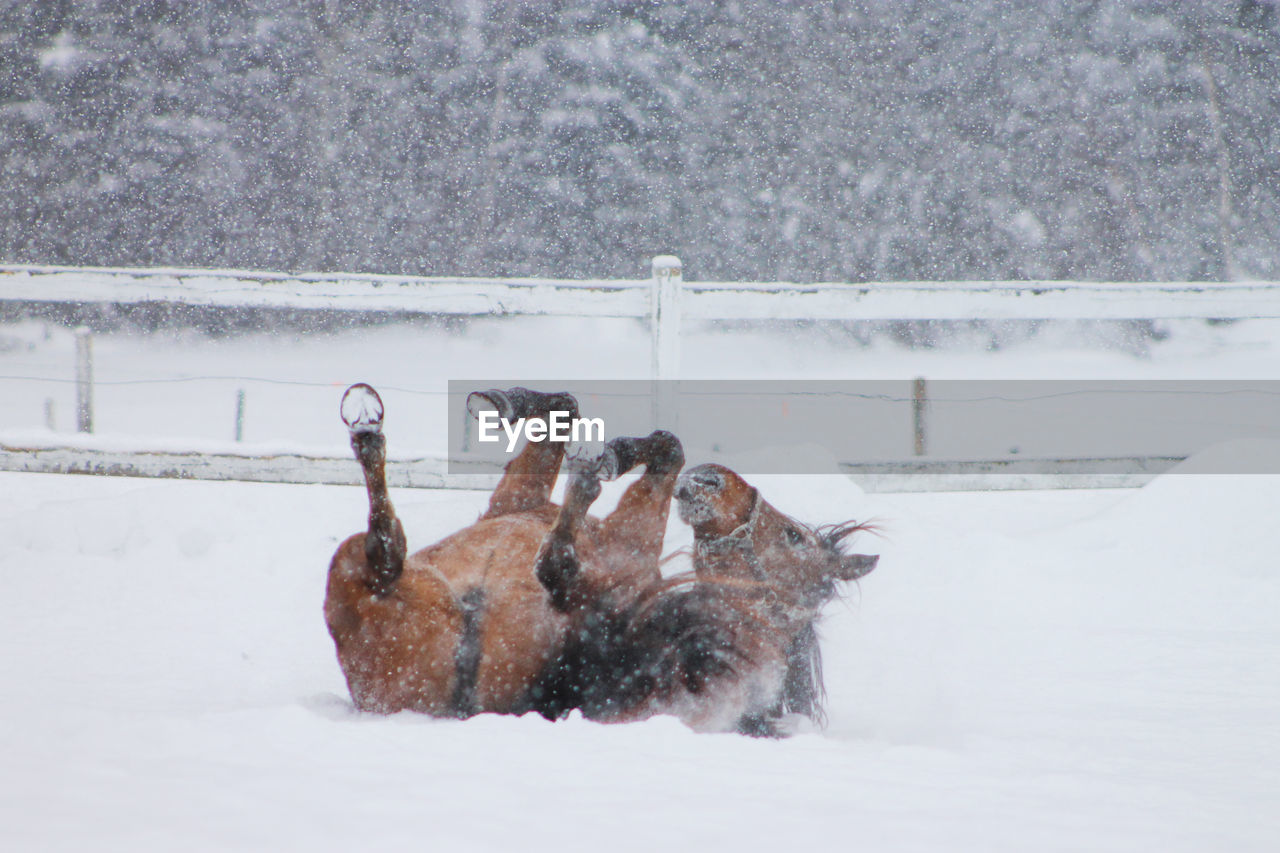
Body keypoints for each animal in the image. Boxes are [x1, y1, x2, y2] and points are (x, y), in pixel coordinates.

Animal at [325, 381, 686, 712]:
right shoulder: (518, 496)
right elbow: (567, 408)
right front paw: (500, 403)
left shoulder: (524, 496)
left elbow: (666, 447)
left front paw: (610, 455)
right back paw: (366, 427)